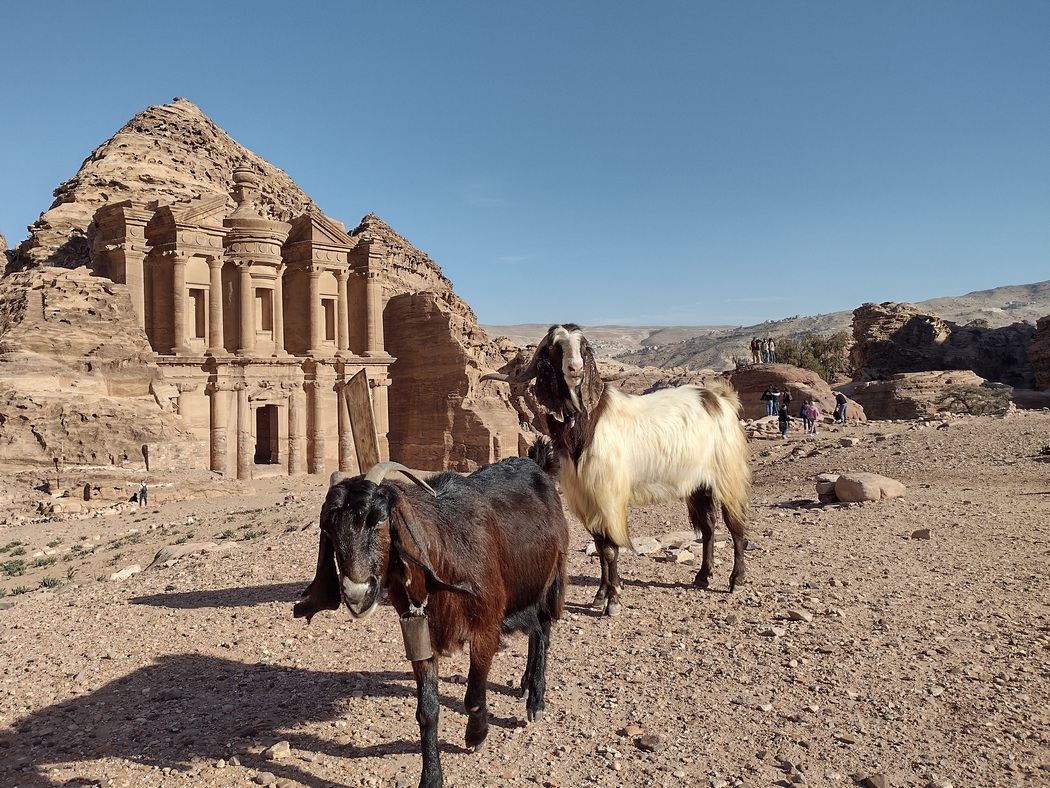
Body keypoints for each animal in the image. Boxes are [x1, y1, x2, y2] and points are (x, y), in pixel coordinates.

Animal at [294, 438, 569, 788]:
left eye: (379, 519)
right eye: (327, 528)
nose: (356, 594)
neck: (443, 555)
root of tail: (539, 465)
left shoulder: (486, 627)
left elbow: (474, 694)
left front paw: (476, 735)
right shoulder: (417, 633)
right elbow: (427, 710)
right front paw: (431, 777)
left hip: (552, 577)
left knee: (543, 630)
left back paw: (535, 699)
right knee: (535, 631)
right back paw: (523, 685)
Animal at [484, 323, 752, 616]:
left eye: (583, 347)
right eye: (555, 347)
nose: (575, 368)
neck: (586, 426)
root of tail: (720, 400)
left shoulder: (607, 495)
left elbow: (611, 549)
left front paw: (613, 601)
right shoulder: (586, 497)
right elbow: (601, 548)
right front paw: (600, 595)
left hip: (727, 474)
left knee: (735, 525)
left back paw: (737, 580)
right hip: (698, 484)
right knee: (709, 526)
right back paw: (703, 576)